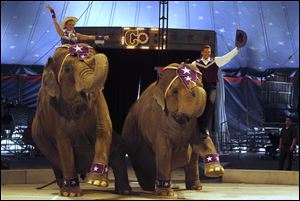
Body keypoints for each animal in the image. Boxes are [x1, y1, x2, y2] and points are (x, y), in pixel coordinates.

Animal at [31, 43, 123, 196]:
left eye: (92, 64)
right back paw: (63, 188)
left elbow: (104, 129)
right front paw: (71, 193)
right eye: (68, 69)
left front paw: (97, 182)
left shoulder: (99, 99)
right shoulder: (54, 109)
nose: (93, 55)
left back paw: (124, 191)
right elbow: (64, 144)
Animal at [113, 62, 224, 196]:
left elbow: (201, 142)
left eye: (201, 85)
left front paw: (215, 170)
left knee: (192, 160)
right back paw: (151, 188)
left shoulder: (194, 123)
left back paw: (195, 187)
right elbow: (164, 151)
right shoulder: (156, 122)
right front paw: (166, 194)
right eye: (175, 91)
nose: (212, 88)